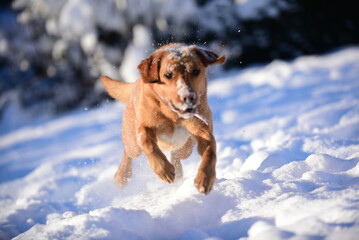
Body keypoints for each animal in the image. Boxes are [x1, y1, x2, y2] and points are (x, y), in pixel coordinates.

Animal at [100, 42, 225, 193]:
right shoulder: (146, 126)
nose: (188, 97)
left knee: (176, 154)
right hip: (132, 142)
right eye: (168, 75)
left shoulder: (203, 131)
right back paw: (122, 176)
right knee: (128, 152)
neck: (173, 115)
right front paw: (164, 170)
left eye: (196, 71)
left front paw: (205, 179)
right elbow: (147, 143)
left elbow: (210, 152)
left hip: (186, 147)